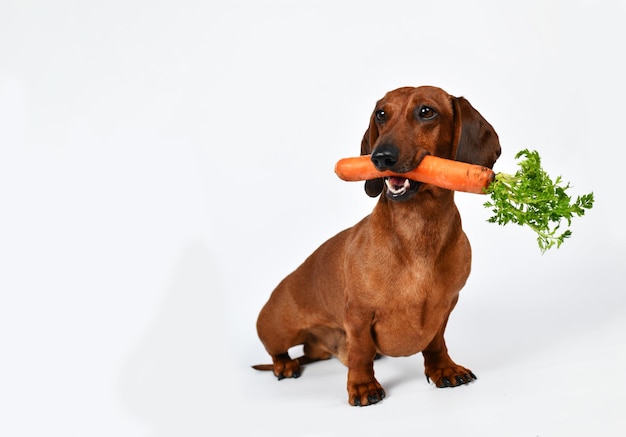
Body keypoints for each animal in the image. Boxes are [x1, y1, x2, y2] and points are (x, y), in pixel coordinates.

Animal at [251, 85, 500, 406]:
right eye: (381, 114)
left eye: (426, 111)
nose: (380, 157)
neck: (418, 230)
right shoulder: (358, 314)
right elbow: (360, 353)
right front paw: (362, 386)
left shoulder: (446, 307)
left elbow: (436, 342)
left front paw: (443, 368)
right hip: (278, 327)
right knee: (277, 351)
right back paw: (285, 365)